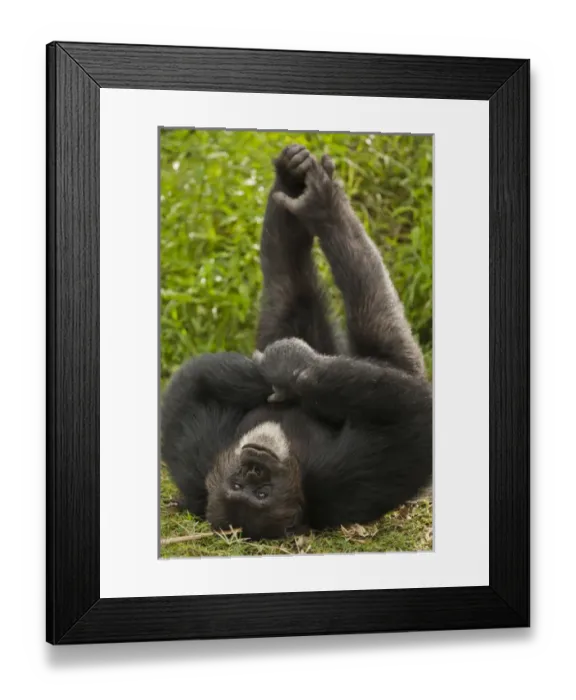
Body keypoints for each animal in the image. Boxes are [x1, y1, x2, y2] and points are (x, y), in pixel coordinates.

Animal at [160, 144, 432, 540]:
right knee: (339, 297)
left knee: (290, 276)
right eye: (248, 490)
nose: (254, 466)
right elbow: (415, 416)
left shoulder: (196, 446)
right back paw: (324, 206)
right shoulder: (354, 475)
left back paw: (293, 180)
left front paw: (268, 375)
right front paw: (284, 367)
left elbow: (194, 382)